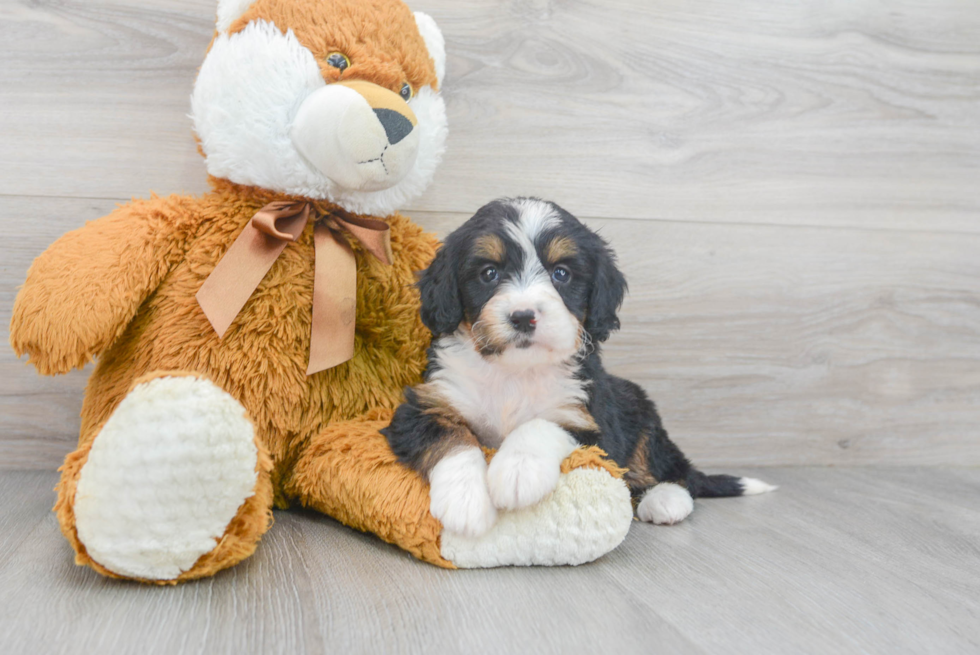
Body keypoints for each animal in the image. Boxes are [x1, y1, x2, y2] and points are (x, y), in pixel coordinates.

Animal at [382, 197, 772, 536]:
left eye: (561, 273)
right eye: (489, 273)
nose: (523, 316)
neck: (514, 372)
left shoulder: (589, 419)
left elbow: (542, 424)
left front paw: (517, 470)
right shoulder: (425, 404)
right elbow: (452, 438)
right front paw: (465, 500)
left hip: (638, 406)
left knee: (671, 469)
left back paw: (666, 498)